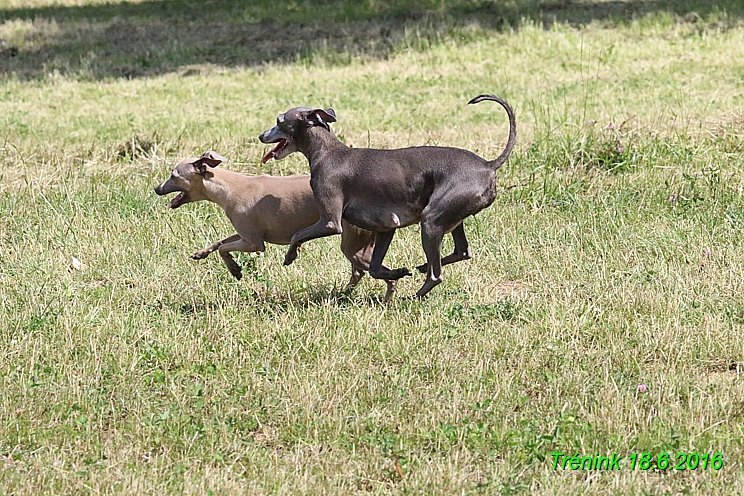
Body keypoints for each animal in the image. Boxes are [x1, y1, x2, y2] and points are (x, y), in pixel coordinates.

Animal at [153, 149, 396, 300]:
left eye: (173, 175)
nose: (156, 189)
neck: (228, 187)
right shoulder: (246, 234)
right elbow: (220, 242)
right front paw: (201, 253)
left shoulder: (254, 243)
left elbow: (224, 248)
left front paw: (235, 270)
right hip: (360, 243)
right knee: (360, 272)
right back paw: (343, 294)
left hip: (353, 244)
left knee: (380, 273)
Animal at [262, 94, 516, 296]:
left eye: (279, 121)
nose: (260, 136)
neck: (327, 153)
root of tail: (488, 165)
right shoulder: (386, 226)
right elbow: (374, 268)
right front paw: (398, 273)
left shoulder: (330, 222)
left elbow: (297, 235)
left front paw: (290, 256)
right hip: (451, 216)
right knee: (461, 251)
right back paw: (422, 267)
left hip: (431, 220)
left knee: (437, 275)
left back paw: (415, 295)